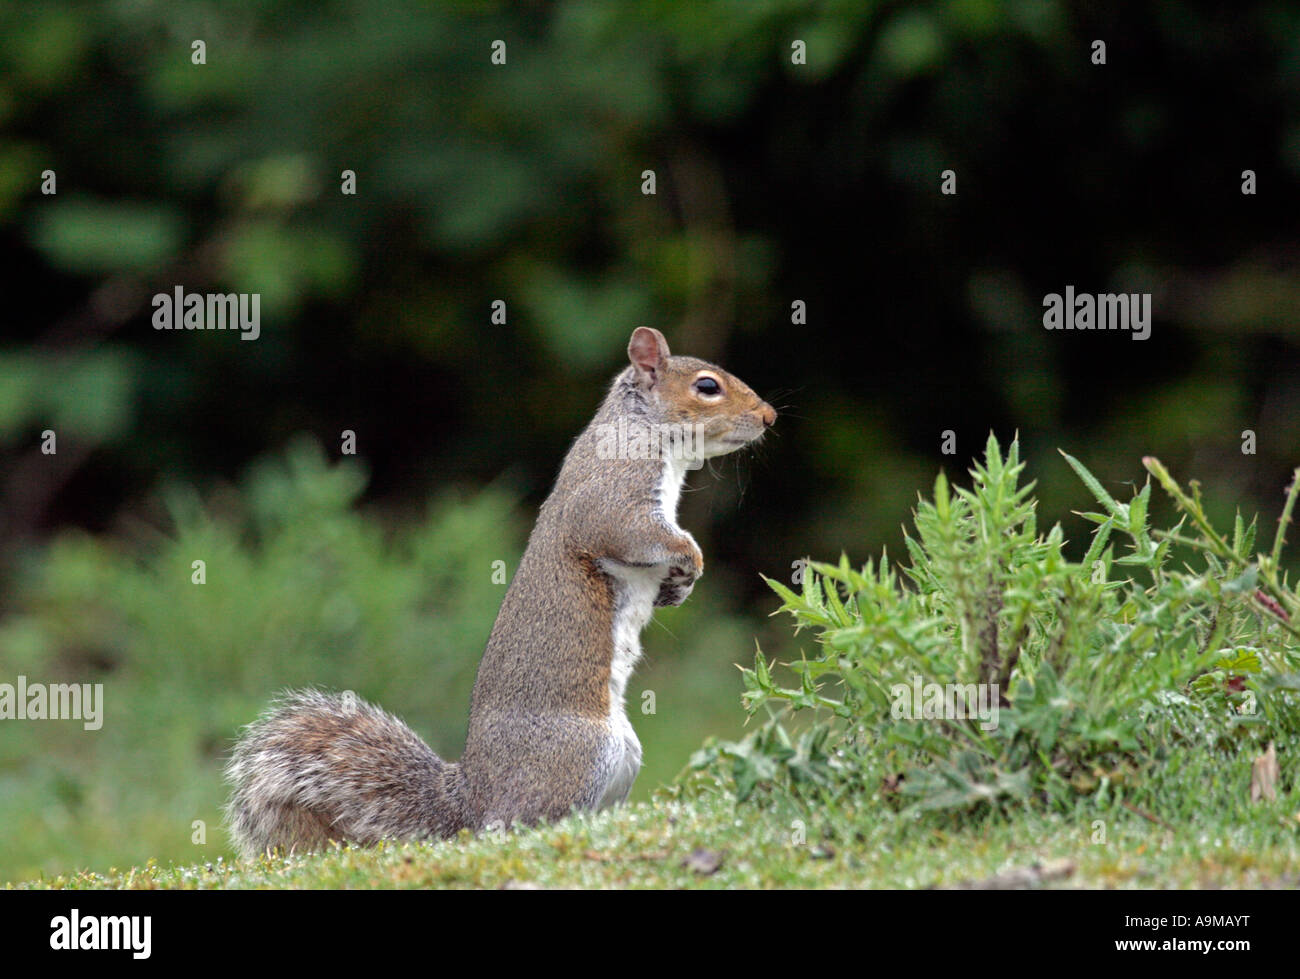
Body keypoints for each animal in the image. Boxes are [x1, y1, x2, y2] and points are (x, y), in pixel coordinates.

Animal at [224, 328, 774, 852]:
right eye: (707, 386)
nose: (769, 416)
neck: (641, 427)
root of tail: (472, 800)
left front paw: (677, 588)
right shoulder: (614, 494)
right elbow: (634, 534)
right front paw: (691, 559)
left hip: (623, 756)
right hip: (583, 752)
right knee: (516, 823)